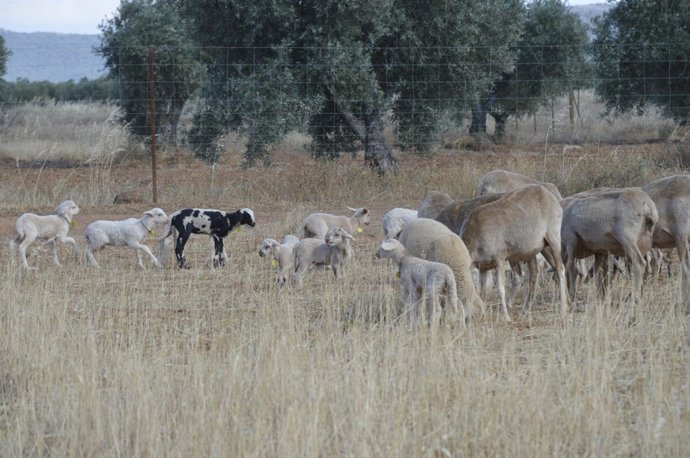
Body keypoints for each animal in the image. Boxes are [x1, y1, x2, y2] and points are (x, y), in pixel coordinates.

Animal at [460, 184, 568, 321]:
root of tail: (550, 196)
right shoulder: (483, 268)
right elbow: (482, 292)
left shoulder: (500, 260)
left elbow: (500, 290)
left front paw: (506, 317)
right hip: (542, 249)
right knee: (536, 274)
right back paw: (526, 310)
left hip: (553, 240)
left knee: (560, 269)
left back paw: (563, 311)